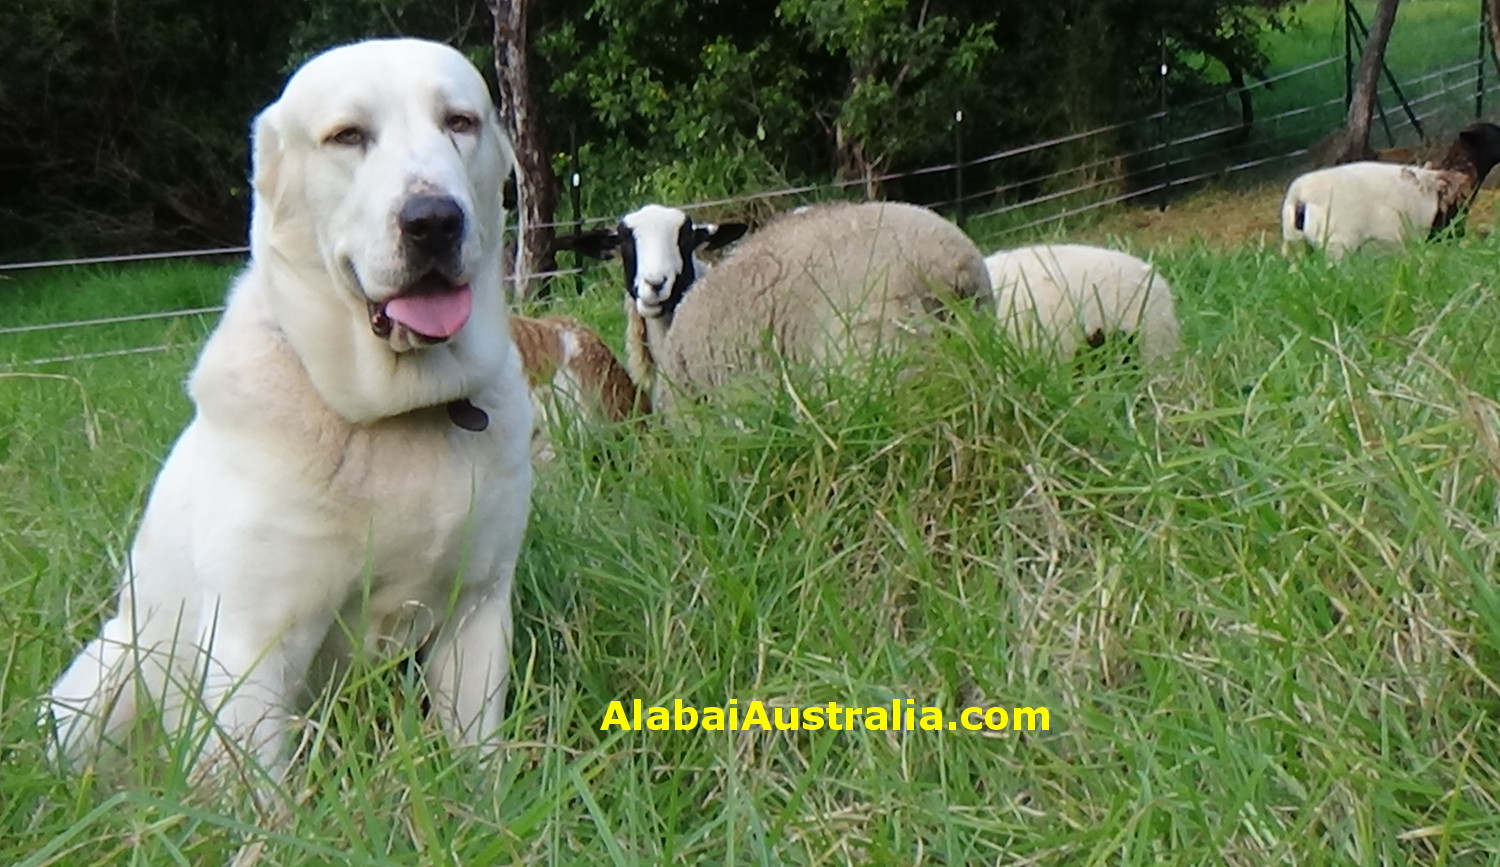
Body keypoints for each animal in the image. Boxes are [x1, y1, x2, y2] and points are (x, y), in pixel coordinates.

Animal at [43, 40, 537, 780]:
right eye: (348, 137)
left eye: (460, 122)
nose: (434, 220)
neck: (396, 415)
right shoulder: (253, 647)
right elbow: (261, 796)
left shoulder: (476, 612)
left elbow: (478, 760)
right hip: (103, 682)